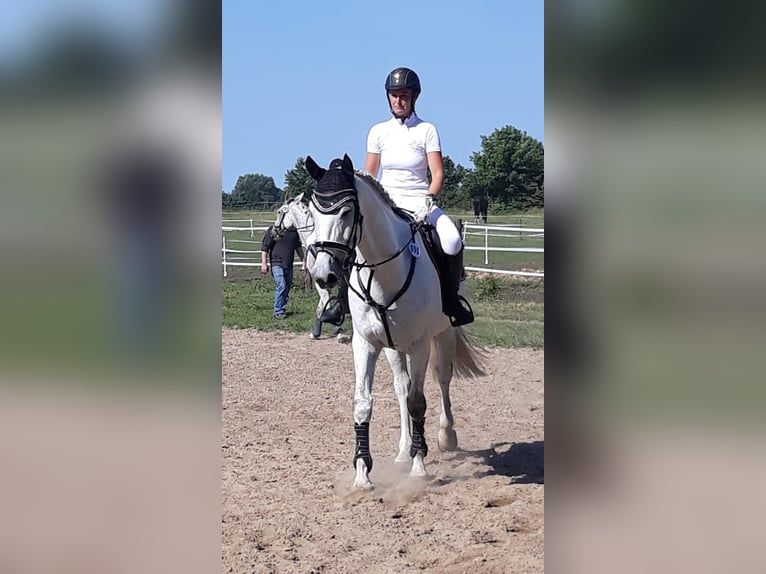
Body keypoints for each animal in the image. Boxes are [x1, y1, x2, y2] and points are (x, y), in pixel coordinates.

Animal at [274, 195, 350, 344]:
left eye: (279, 212)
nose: (274, 230)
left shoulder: (324, 280)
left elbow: (326, 303)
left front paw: (336, 331)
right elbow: (322, 306)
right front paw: (318, 331)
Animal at [304, 154, 485, 490]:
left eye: (346, 212)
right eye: (312, 211)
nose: (324, 275)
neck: (384, 272)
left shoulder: (419, 345)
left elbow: (418, 402)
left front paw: (419, 467)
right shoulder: (365, 343)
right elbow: (364, 403)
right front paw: (362, 473)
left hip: (443, 334)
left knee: (442, 379)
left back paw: (446, 437)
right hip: (392, 346)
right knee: (401, 386)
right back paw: (403, 452)